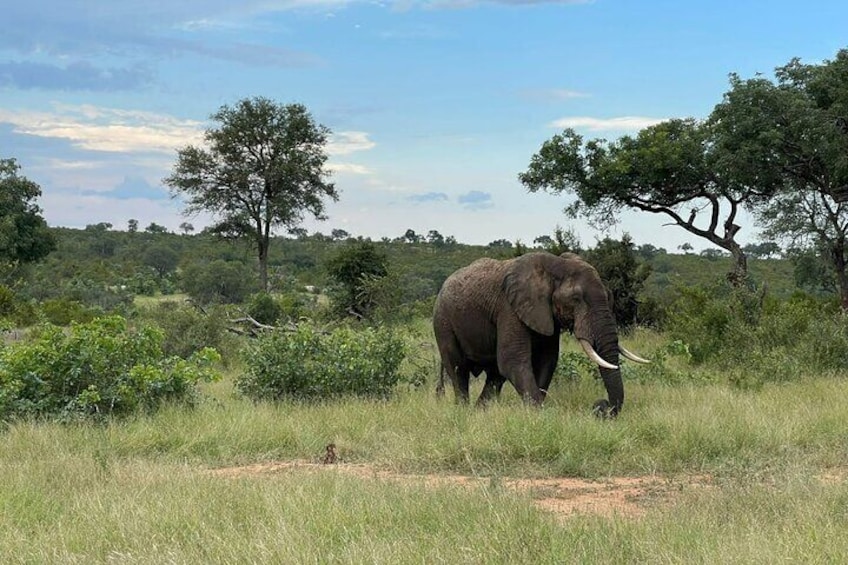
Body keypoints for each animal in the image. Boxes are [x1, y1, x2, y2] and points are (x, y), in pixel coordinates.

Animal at [432, 251, 648, 416]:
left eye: (610, 297)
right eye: (576, 299)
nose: (601, 407)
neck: (554, 266)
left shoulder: (546, 314)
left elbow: (547, 360)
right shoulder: (509, 308)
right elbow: (513, 360)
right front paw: (540, 414)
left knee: (494, 375)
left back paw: (480, 412)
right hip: (443, 321)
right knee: (458, 368)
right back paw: (463, 411)